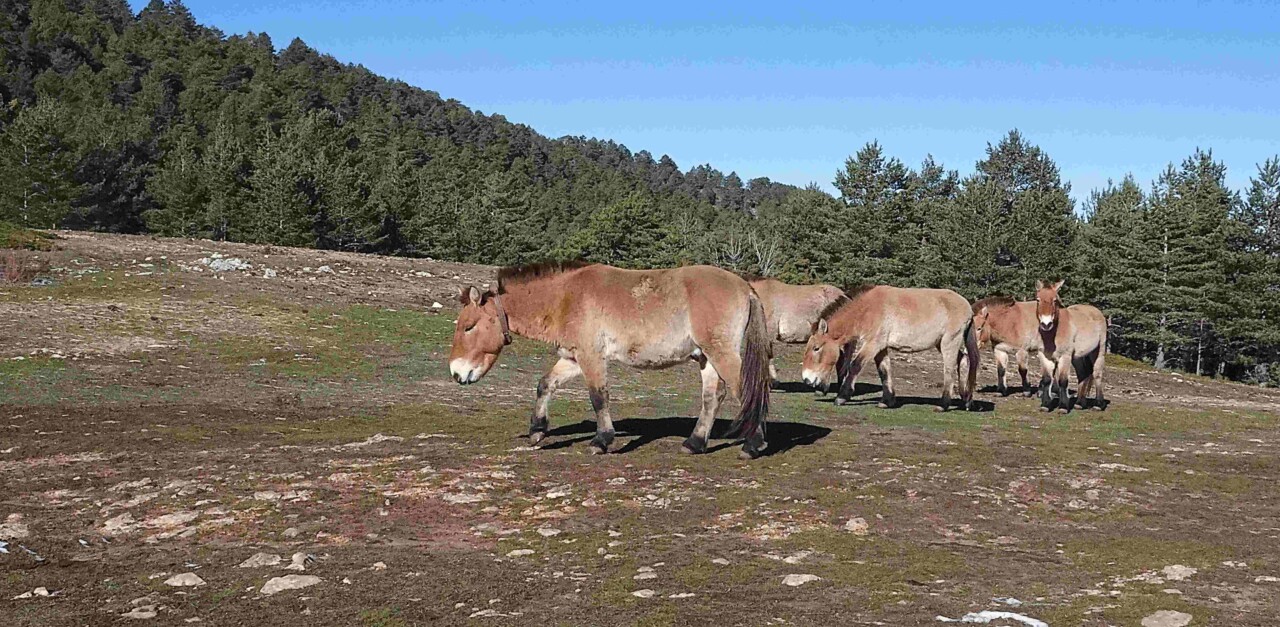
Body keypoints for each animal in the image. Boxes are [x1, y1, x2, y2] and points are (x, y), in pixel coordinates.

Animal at [448, 262, 772, 459]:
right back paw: (695, 443)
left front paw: (601, 441)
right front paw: (537, 431)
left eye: (468, 327)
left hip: (720, 353)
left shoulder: (592, 357)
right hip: (705, 357)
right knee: (712, 397)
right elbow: (545, 385)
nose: (456, 373)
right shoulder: (573, 358)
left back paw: (752, 445)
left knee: (746, 391)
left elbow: (598, 397)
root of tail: (745, 287)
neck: (565, 298)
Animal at [801, 286, 979, 411]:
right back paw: (966, 399)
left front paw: (842, 397)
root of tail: (968, 307)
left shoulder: (872, 345)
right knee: (963, 359)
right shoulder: (881, 348)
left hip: (949, 343)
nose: (807, 379)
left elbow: (855, 366)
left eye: (816, 348)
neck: (867, 309)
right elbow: (884, 371)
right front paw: (887, 401)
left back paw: (943, 404)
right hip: (942, 343)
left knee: (949, 369)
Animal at [1033, 280, 1108, 412]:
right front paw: (1045, 405)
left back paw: (1098, 405)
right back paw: (1079, 403)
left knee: (1097, 374)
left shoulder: (1065, 356)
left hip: (1098, 351)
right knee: (1083, 374)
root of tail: (1097, 311)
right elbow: (1047, 380)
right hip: (1078, 357)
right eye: (1038, 299)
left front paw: (1063, 406)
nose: (1046, 324)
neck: (1053, 334)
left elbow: (1063, 381)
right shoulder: (1044, 356)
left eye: (1055, 300)